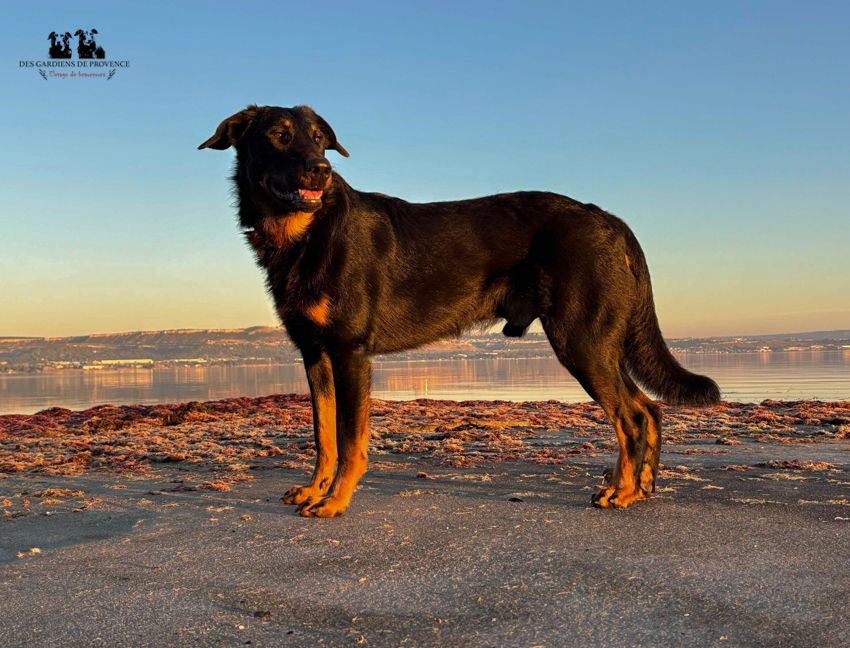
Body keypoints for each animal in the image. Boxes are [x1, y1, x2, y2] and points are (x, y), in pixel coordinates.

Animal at [197, 107, 716, 520]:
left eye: (320, 138)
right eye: (280, 135)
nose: (321, 170)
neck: (307, 232)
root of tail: (609, 219)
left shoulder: (350, 353)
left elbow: (349, 441)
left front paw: (336, 500)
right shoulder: (315, 354)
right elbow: (324, 435)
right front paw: (315, 489)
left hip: (581, 341)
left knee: (631, 416)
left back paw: (622, 492)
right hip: (598, 344)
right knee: (648, 408)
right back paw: (639, 487)